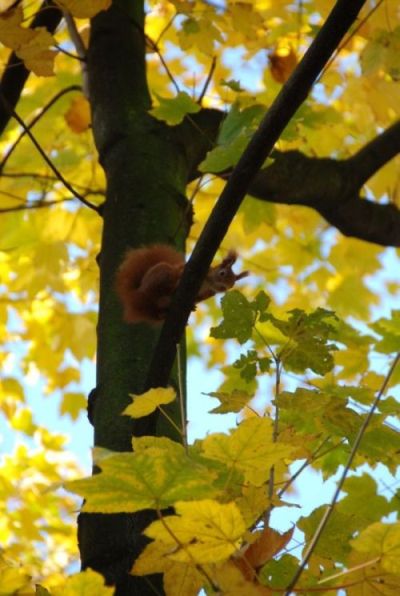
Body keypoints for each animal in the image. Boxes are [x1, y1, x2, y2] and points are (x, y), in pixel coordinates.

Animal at [114, 243, 248, 324]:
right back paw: (171, 290)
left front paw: (193, 306)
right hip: (160, 276)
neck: (207, 283)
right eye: (222, 273)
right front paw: (178, 282)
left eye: (231, 285)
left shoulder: (207, 293)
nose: (223, 288)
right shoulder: (185, 269)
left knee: (158, 312)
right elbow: (179, 272)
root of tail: (136, 297)